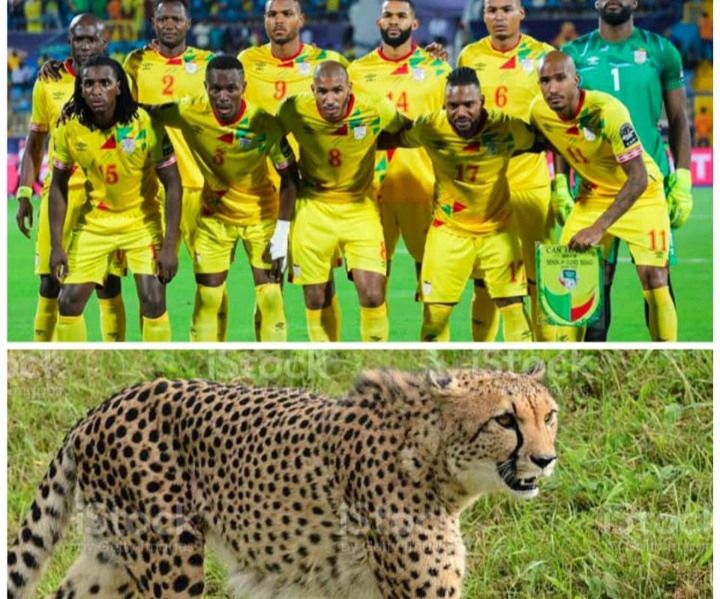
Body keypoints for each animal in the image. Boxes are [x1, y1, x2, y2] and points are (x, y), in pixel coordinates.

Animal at [8, 363, 558, 599]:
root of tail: (104, 405)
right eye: (505, 420)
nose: (547, 459)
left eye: (548, 415)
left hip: (113, 556)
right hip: (168, 558)